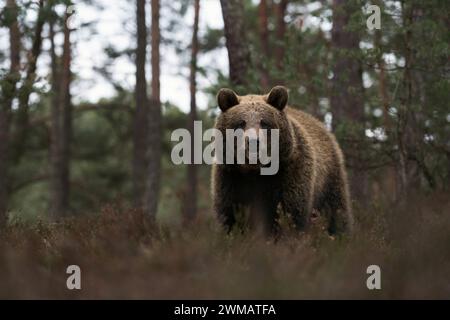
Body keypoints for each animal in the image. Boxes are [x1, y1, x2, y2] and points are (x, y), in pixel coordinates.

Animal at [212, 85, 356, 235]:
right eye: (241, 123)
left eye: (264, 122)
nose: (253, 141)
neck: (256, 170)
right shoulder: (231, 177)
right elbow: (229, 214)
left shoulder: (290, 172)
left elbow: (291, 211)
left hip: (329, 179)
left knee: (337, 211)